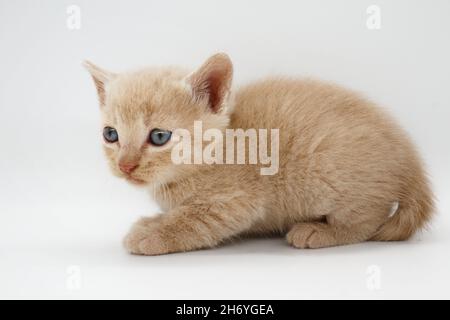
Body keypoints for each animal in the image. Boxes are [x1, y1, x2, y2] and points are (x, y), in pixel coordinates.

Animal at [83, 53, 432, 256]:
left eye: (159, 137)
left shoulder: (236, 201)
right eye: (111, 135)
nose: (125, 166)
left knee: (368, 220)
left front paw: (154, 234)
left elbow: (192, 219)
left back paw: (319, 231)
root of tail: (409, 157)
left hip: (328, 175)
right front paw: (154, 220)